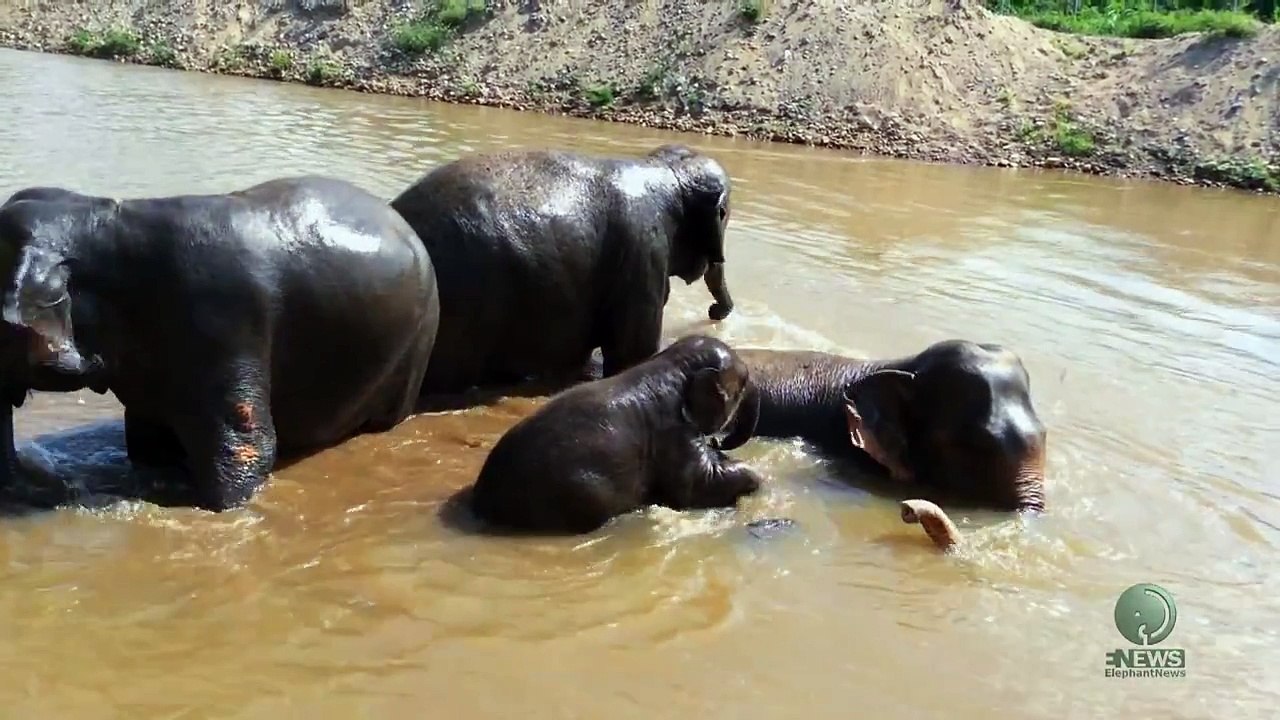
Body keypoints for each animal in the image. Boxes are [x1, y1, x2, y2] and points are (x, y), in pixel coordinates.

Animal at [468, 334, 762, 535]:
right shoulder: (674, 432)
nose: (717, 442)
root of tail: (483, 503)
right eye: (743, 384)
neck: (671, 364)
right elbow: (696, 488)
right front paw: (754, 475)